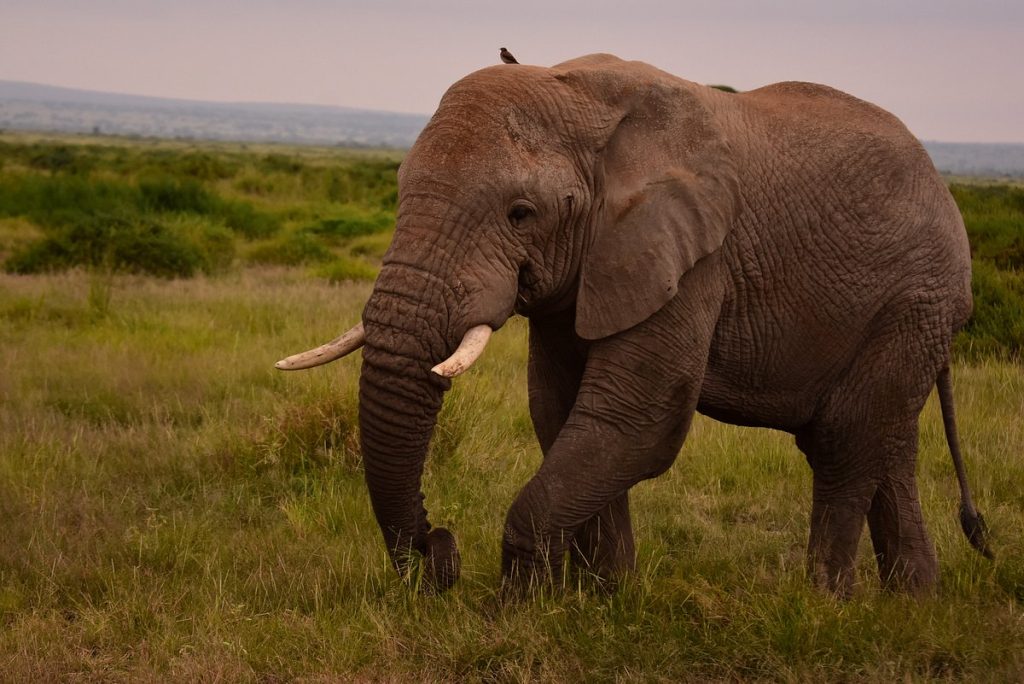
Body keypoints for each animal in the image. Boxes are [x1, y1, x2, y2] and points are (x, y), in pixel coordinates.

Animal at [276, 54, 987, 597]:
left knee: (844, 442)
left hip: (916, 302)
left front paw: (517, 610)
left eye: (521, 213)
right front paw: (606, 601)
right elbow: (562, 412)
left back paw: (825, 605)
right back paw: (912, 605)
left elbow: (634, 421)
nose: (437, 551)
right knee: (884, 444)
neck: (578, 91)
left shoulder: (693, 258)